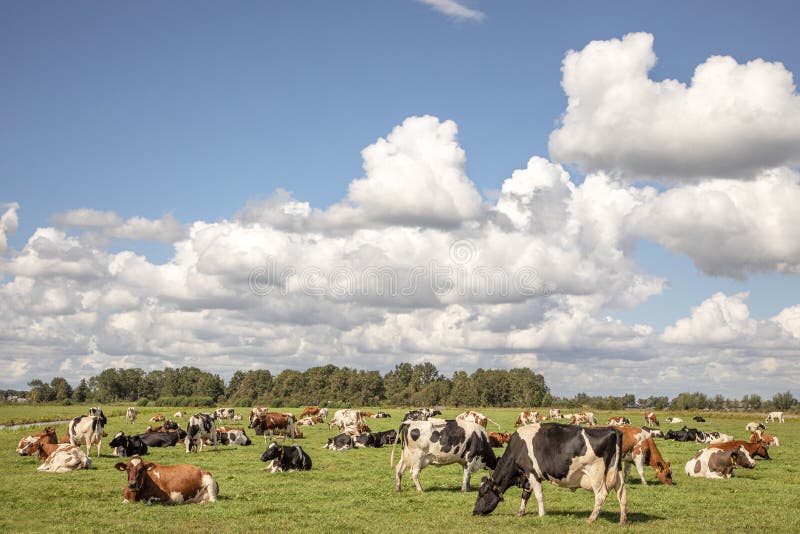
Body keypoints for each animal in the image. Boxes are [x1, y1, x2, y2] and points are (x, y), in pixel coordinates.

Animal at [472, 426, 628, 524]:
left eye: (482, 493)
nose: (474, 512)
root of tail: (612, 429)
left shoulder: (532, 472)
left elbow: (538, 495)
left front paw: (541, 515)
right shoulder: (527, 476)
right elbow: (525, 495)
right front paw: (520, 512)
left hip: (596, 473)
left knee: (601, 495)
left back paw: (591, 519)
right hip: (617, 471)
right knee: (622, 494)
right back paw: (622, 520)